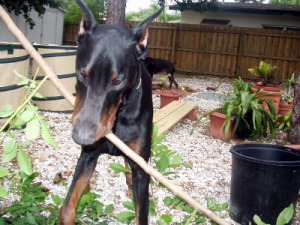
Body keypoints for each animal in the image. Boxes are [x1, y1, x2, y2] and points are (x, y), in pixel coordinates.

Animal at [58, 0, 162, 224]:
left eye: (117, 81)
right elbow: (67, 207)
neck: (120, 115)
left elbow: (141, 213)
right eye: (82, 74)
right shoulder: (88, 155)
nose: (81, 137)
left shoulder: (141, 166)